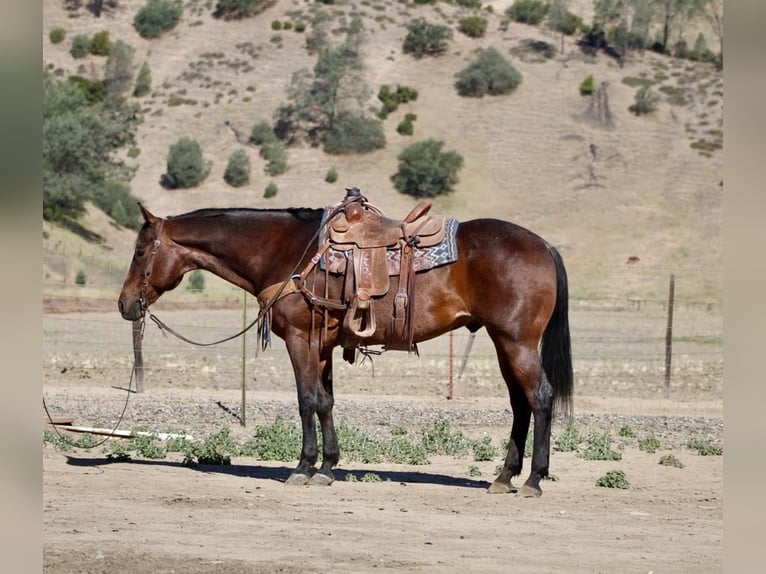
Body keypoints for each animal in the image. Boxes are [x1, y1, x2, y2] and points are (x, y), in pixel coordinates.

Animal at [118, 194, 573, 497]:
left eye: (140, 251)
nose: (124, 304)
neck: (287, 251)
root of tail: (544, 246)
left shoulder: (300, 339)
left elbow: (306, 400)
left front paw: (303, 467)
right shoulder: (322, 345)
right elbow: (326, 401)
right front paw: (327, 466)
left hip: (517, 342)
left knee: (540, 396)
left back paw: (533, 479)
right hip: (502, 341)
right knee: (520, 403)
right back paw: (504, 477)